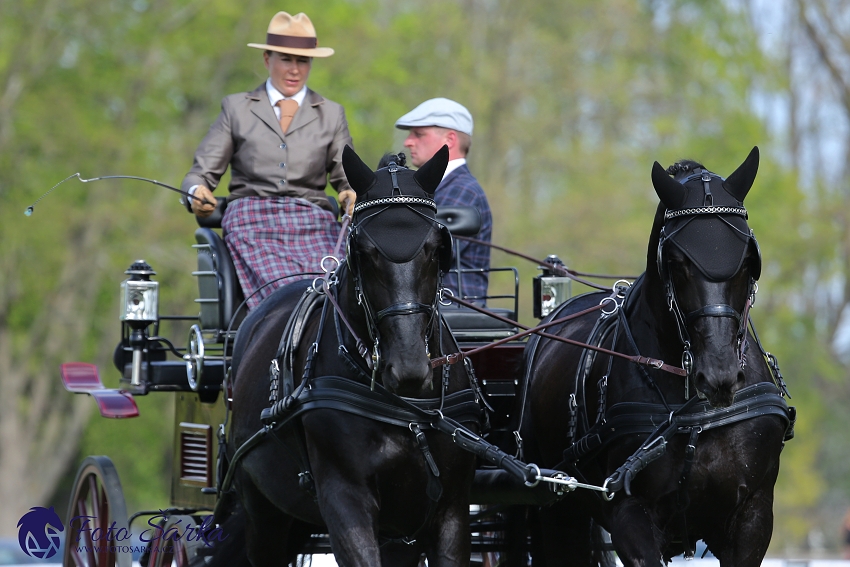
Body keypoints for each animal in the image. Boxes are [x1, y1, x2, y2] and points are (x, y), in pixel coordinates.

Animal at [520, 148, 792, 567]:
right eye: (677, 262)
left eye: (748, 261)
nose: (719, 375)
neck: (698, 414)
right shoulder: (629, 512)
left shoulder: (753, 513)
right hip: (558, 508)